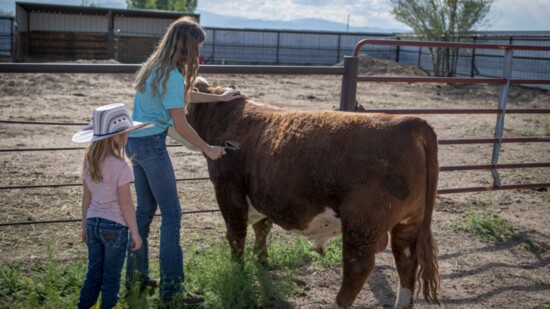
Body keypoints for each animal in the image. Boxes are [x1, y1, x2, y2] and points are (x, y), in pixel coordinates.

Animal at [188, 77, 442, 308]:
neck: (229, 117)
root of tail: (409, 122)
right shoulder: (262, 195)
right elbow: (262, 228)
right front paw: (262, 261)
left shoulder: (229, 191)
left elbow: (236, 236)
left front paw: (238, 272)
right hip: (408, 222)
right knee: (406, 261)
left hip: (362, 224)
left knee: (358, 267)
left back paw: (337, 304)